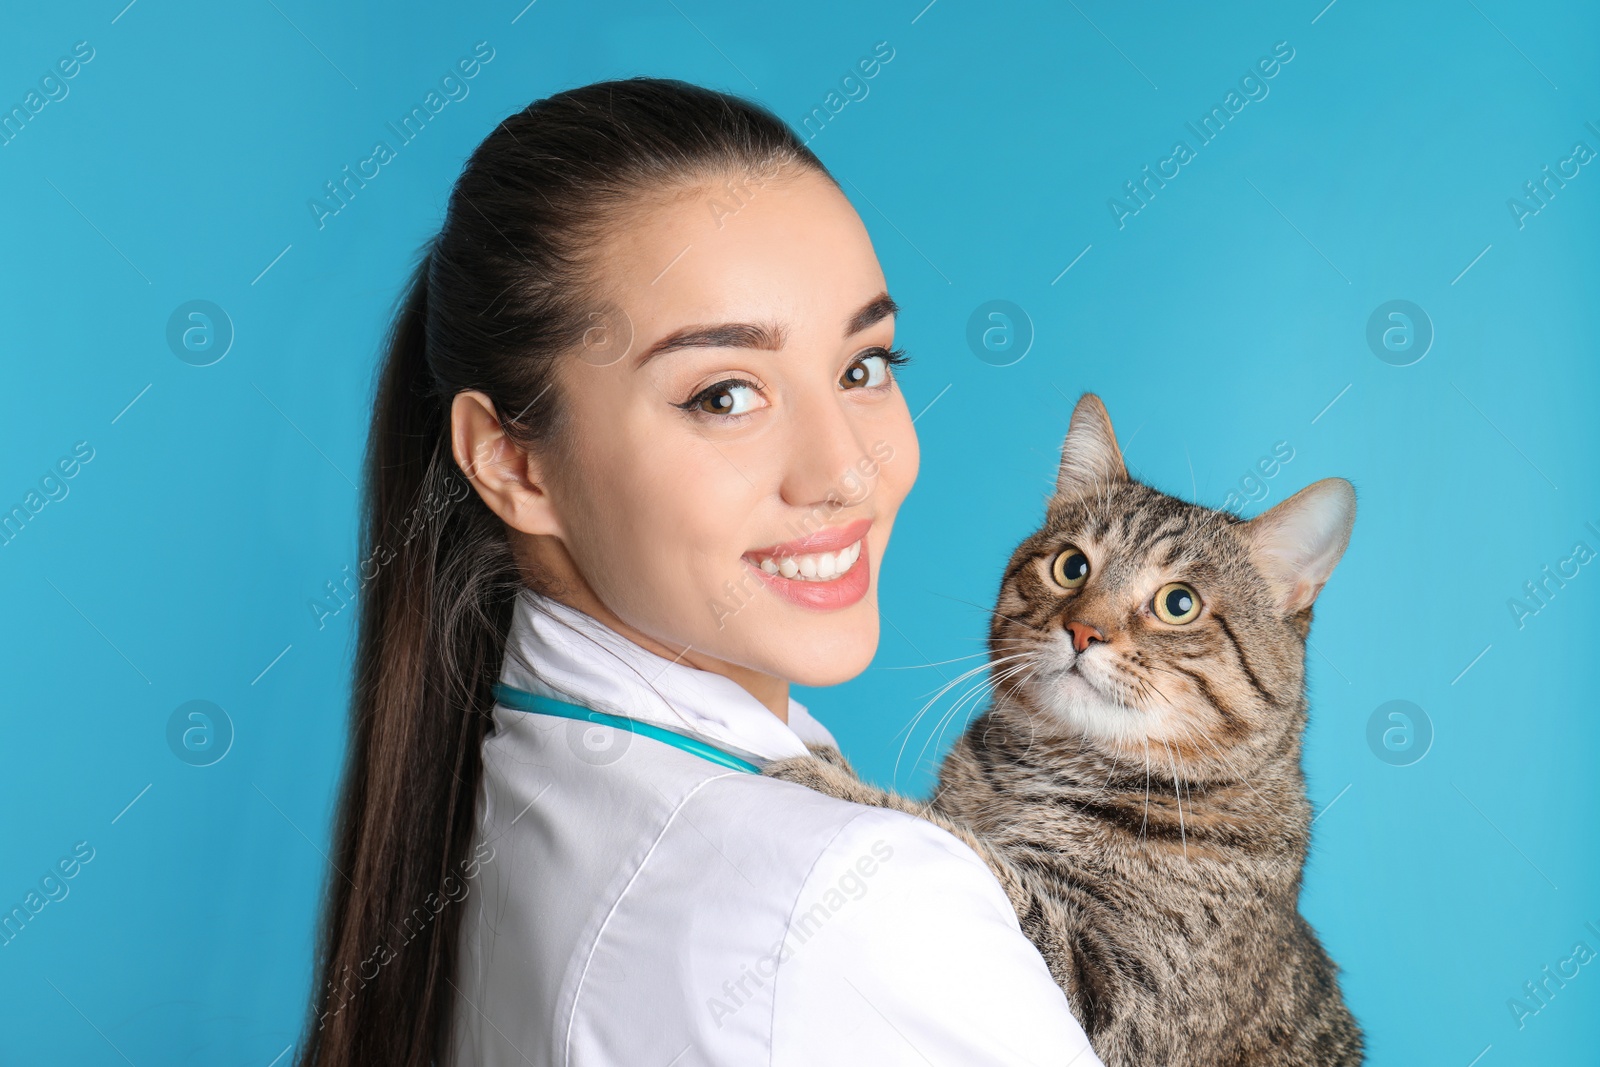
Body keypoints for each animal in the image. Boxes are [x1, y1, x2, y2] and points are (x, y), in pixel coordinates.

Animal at [764, 395, 1363, 1067]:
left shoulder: (1113, 1005)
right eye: (1071, 567)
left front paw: (833, 778)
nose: (1083, 630)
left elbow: (970, 849)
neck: (1050, 768)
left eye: (1178, 603)